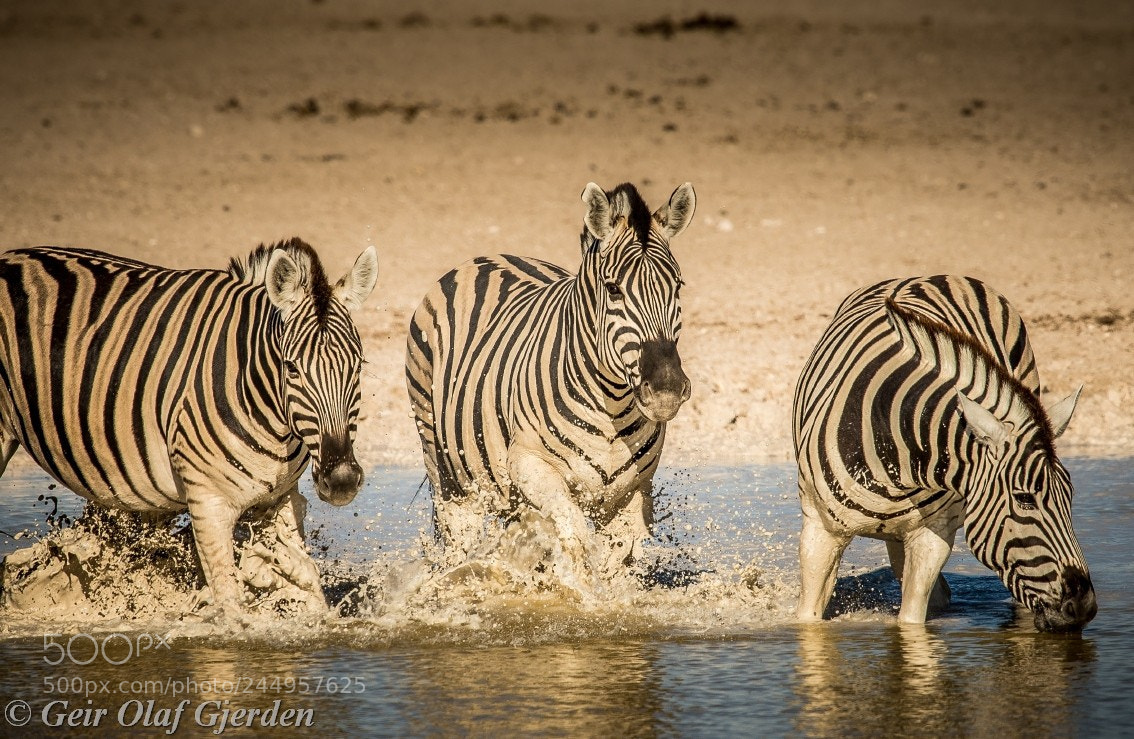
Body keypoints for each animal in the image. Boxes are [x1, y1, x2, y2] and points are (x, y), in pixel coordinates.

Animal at [0, 238, 378, 613]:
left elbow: (310, 589)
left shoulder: (279, 500)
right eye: (292, 368)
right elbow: (229, 604)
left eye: (357, 365)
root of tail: (12, 255)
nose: (342, 481)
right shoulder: (207, 502)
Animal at [405, 182, 696, 581]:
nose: (666, 390)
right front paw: (575, 590)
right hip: (441, 458)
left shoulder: (633, 490)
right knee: (458, 535)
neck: (613, 405)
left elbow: (619, 557)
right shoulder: (530, 466)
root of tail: (491, 257)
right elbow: (574, 538)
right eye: (613, 289)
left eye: (678, 287)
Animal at [793, 275, 1096, 630]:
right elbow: (809, 619)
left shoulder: (932, 537)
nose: (1084, 606)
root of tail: (927, 276)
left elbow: (912, 623)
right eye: (1024, 499)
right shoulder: (820, 533)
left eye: (1071, 496)